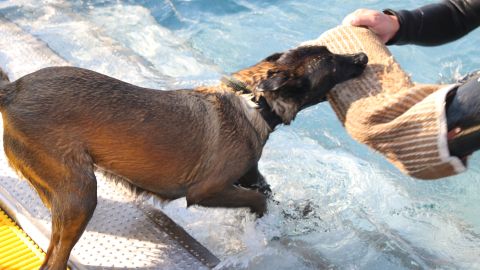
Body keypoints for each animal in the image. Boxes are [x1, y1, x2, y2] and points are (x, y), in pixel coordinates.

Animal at [0, 45, 368, 268]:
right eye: (332, 62)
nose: (363, 56)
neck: (254, 101)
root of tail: (13, 89)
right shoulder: (207, 191)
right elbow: (259, 201)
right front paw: (260, 229)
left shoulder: (249, 175)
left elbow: (269, 193)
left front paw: (296, 217)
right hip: (81, 195)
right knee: (54, 259)